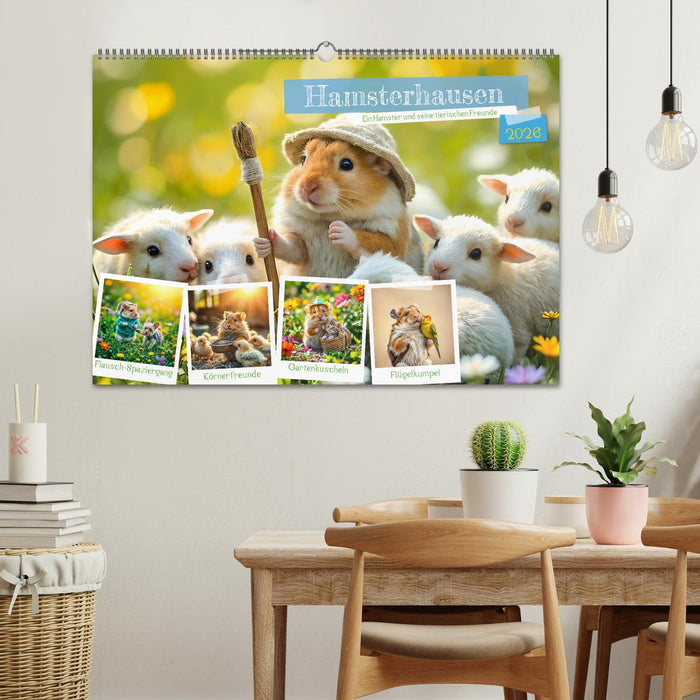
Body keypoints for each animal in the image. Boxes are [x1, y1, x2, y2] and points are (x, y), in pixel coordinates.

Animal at [255, 140, 424, 278]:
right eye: (303, 159)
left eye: (347, 164)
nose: (307, 186)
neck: (326, 216)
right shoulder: (300, 241)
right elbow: (290, 248)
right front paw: (265, 239)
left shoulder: (393, 237)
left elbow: (370, 241)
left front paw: (337, 229)